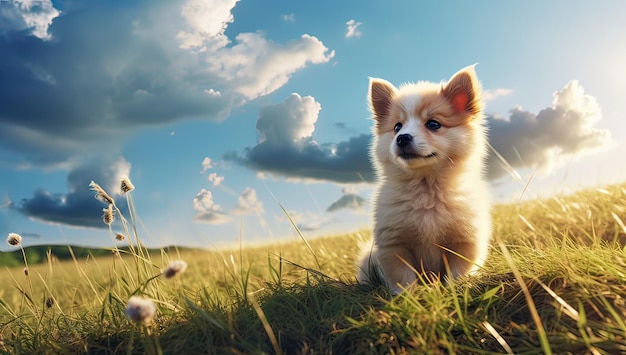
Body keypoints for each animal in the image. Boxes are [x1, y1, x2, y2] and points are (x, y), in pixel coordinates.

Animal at [358, 65, 490, 294]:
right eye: (397, 127)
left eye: (433, 124)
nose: (402, 138)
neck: (426, 188)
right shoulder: (394, 244)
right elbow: (403, 278)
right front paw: (410, 297)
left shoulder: (464, 241)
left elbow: (458, 273)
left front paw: (454, 292)